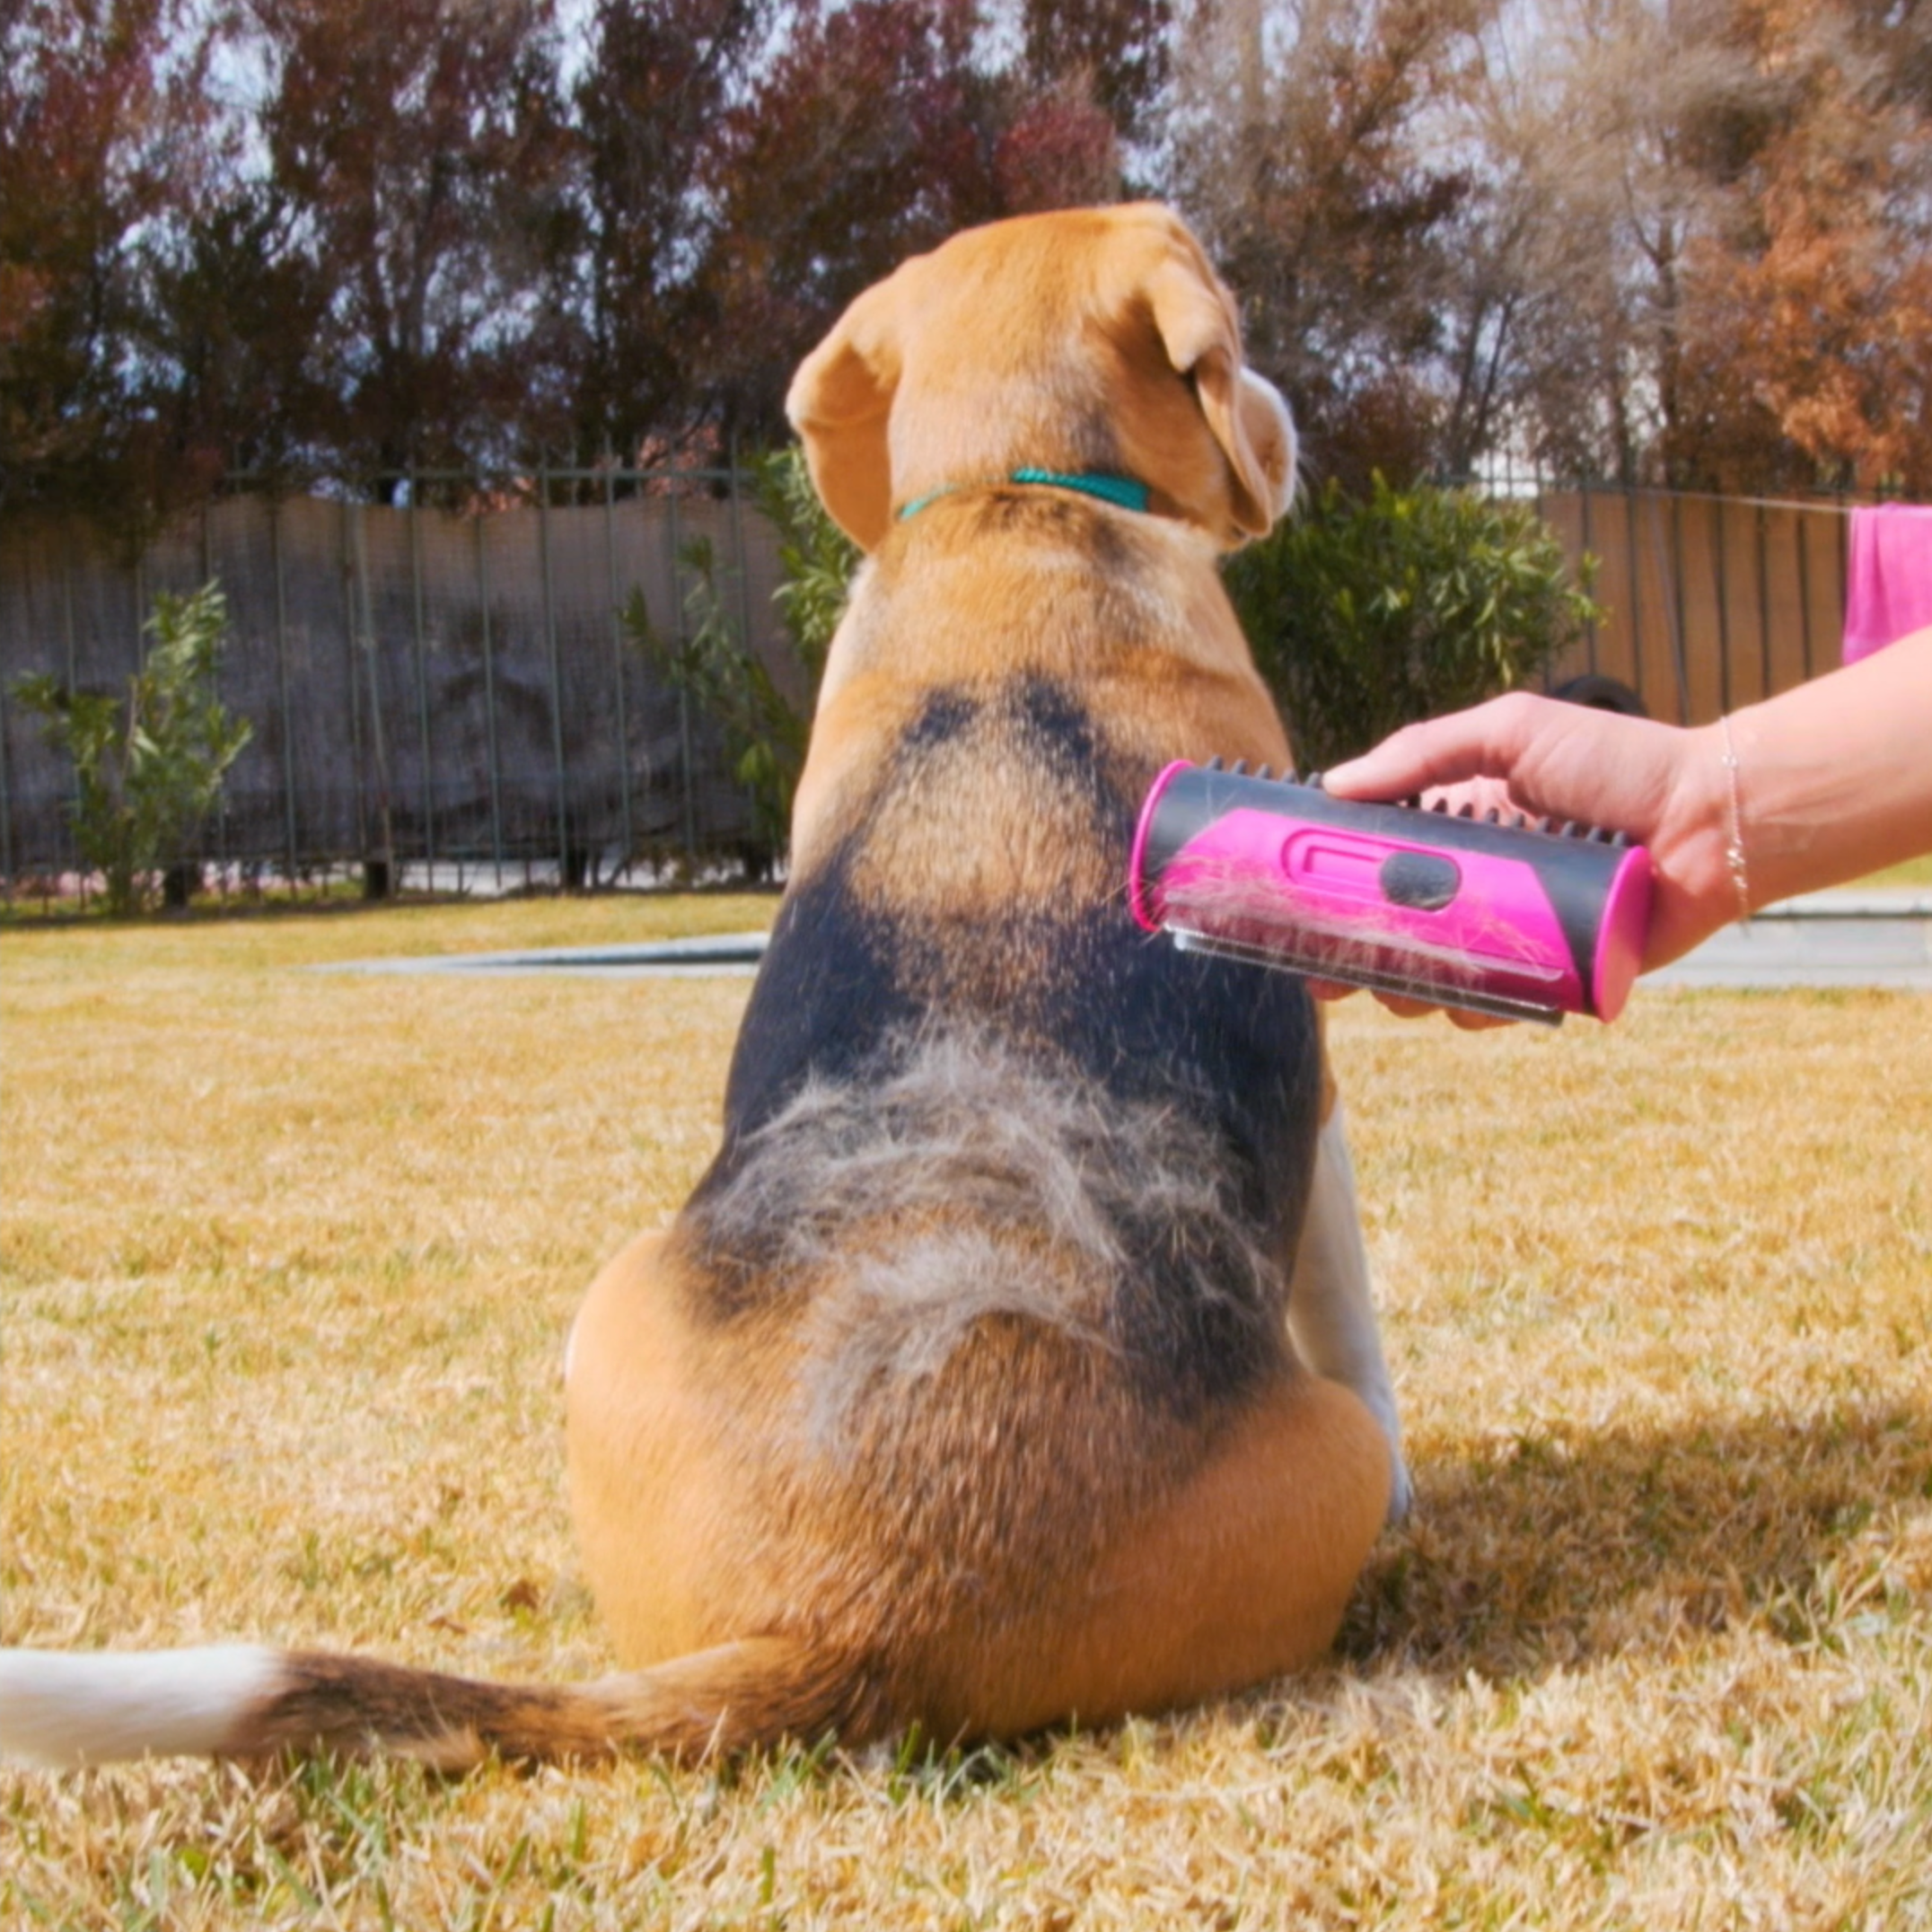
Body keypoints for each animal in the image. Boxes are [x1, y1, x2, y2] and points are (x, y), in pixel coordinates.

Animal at [0, 204, 1406, 1770]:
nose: (1287, 418)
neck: (1010, 507)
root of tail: (852, 1610)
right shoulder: (1321, 1099)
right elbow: (1350, 1299)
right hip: (1330, 1461)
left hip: (610, 1305)